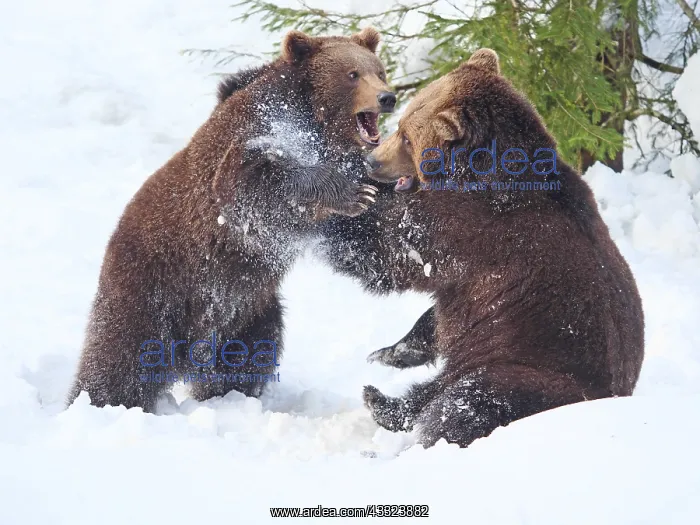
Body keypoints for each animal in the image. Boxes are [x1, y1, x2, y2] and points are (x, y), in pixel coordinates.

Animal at [66, 28, 396, 413]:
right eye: (352, 74)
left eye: (379, 71)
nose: (387, 97)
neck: (314, 122)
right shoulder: (250, 141)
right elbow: (250, 189)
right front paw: (350, 192)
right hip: (154, 283)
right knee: (122, 355)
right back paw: (100, 402)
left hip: (248, 308)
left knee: (249, 353)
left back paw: (229, 395)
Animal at [318, 48, 645, 447]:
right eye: (402, 126)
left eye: (408, 137)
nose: (372, 161)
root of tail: (613, 399)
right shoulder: (474, 295)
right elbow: (436, 319)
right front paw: (392, 350)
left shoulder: (469, 233)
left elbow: (391, 250)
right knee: (448, 383)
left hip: (532, 370)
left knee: (467, 398)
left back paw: (385, 405)